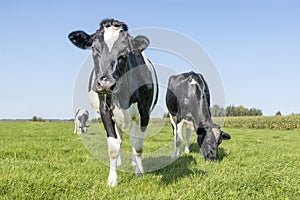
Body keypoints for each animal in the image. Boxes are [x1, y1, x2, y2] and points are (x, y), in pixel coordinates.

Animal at [67, 18, 157, 186]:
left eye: (125, 52)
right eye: (93, 48)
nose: (106, 84)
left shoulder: (144, 112)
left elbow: (138, 145)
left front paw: (139, 172)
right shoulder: (105, 111)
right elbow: (114, 146)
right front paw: (112, 179)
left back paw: (134, 163)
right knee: (120, 139)